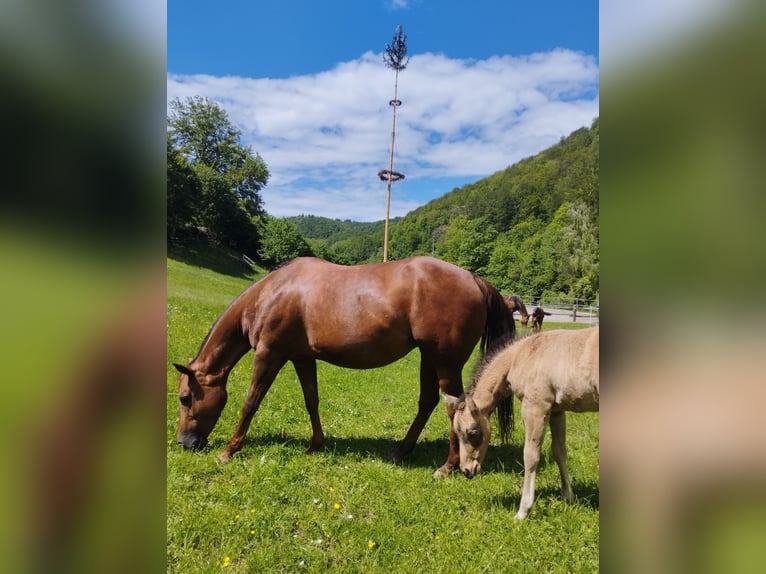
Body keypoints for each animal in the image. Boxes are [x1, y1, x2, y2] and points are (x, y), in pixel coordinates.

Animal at [174, 256, 516, 476]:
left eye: (185, 398)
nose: (185, 443)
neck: (272, 293)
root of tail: (475, 280)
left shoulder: (269, 355)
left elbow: (250, 403)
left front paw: (229, 451)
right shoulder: (302, 357)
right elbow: (311, 400)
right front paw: (315, 446)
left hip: (445, 362)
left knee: (454, 406)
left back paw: (447, 466)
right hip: (429, 357)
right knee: (428, 401)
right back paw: (401, 452)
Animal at [444, 328, 600, 520]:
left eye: (473, 433)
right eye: (456, 433)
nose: (466, 471)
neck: (521, 355)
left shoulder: (535, 407)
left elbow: (530, 455)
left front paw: (523, 511)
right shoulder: (556, 411)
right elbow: (559, 451)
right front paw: (569, 497)